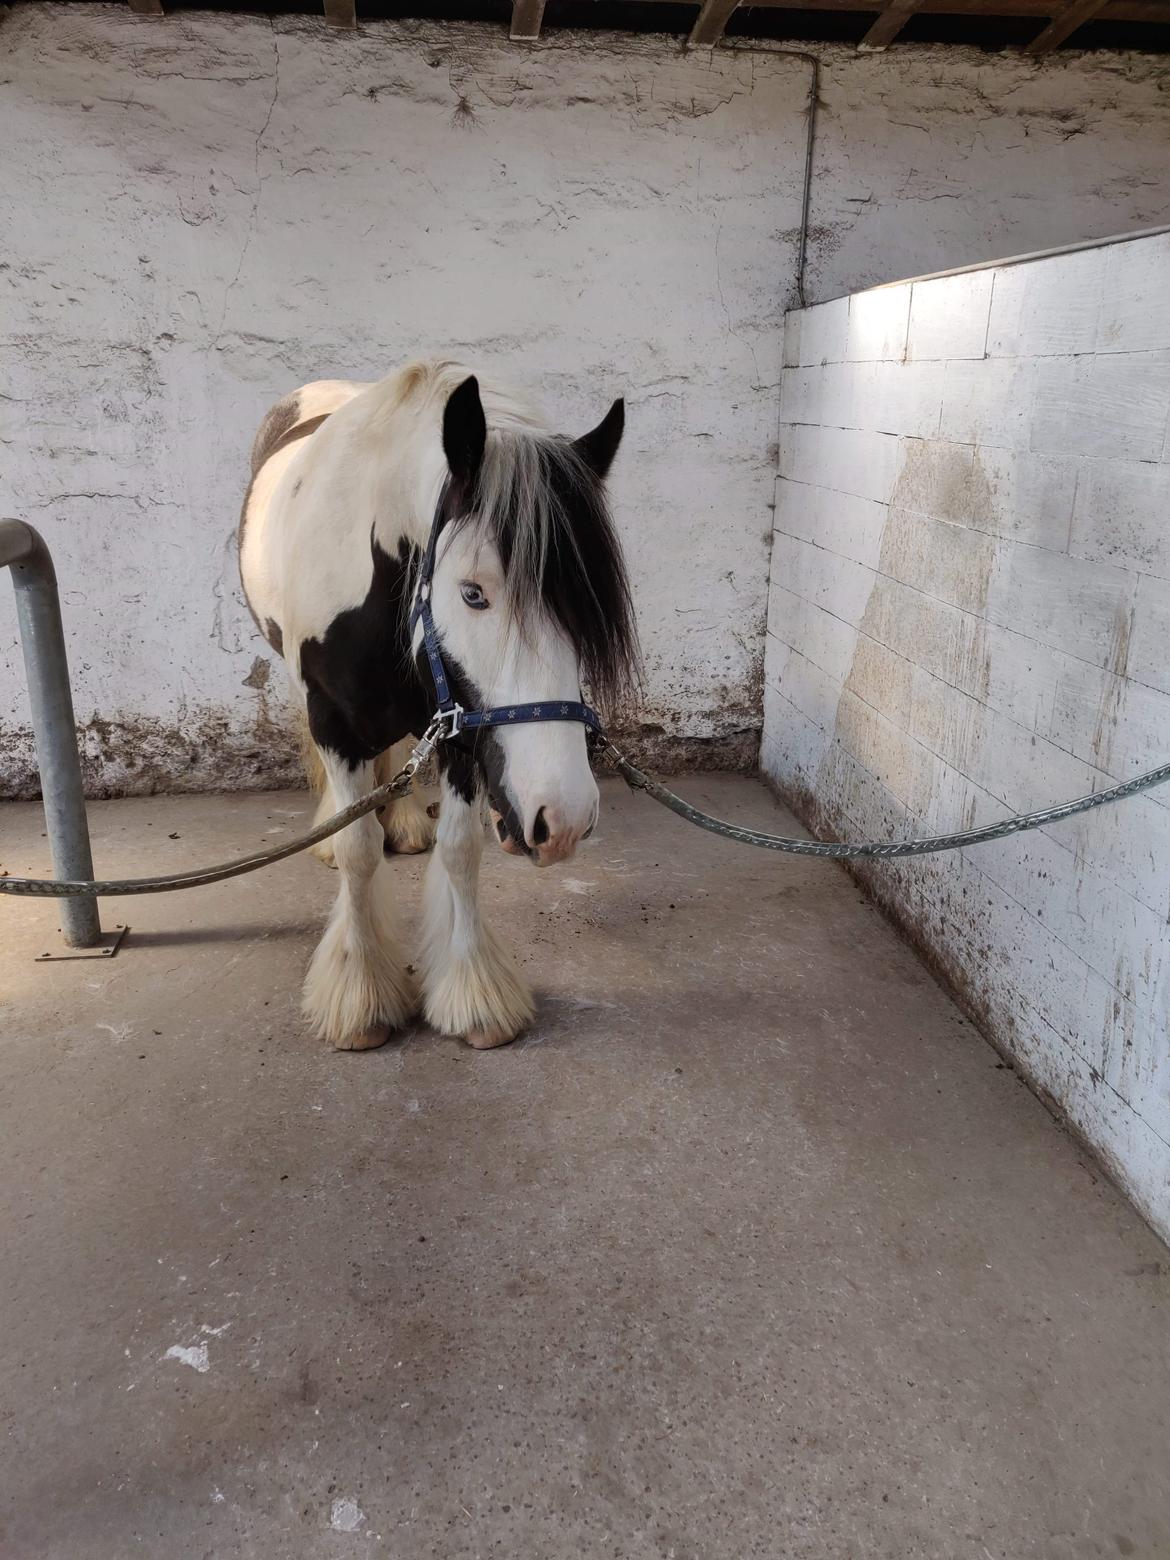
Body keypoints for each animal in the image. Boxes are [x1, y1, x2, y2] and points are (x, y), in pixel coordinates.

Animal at [240, 358, 642, 1054]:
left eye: (584, 609)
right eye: (473, 593)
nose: (562, 819)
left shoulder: (461, 725)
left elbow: (460, 848)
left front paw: (474, 993)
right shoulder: (334, 722)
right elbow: (358, 853)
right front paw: (361, 999)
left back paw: (401, 820)